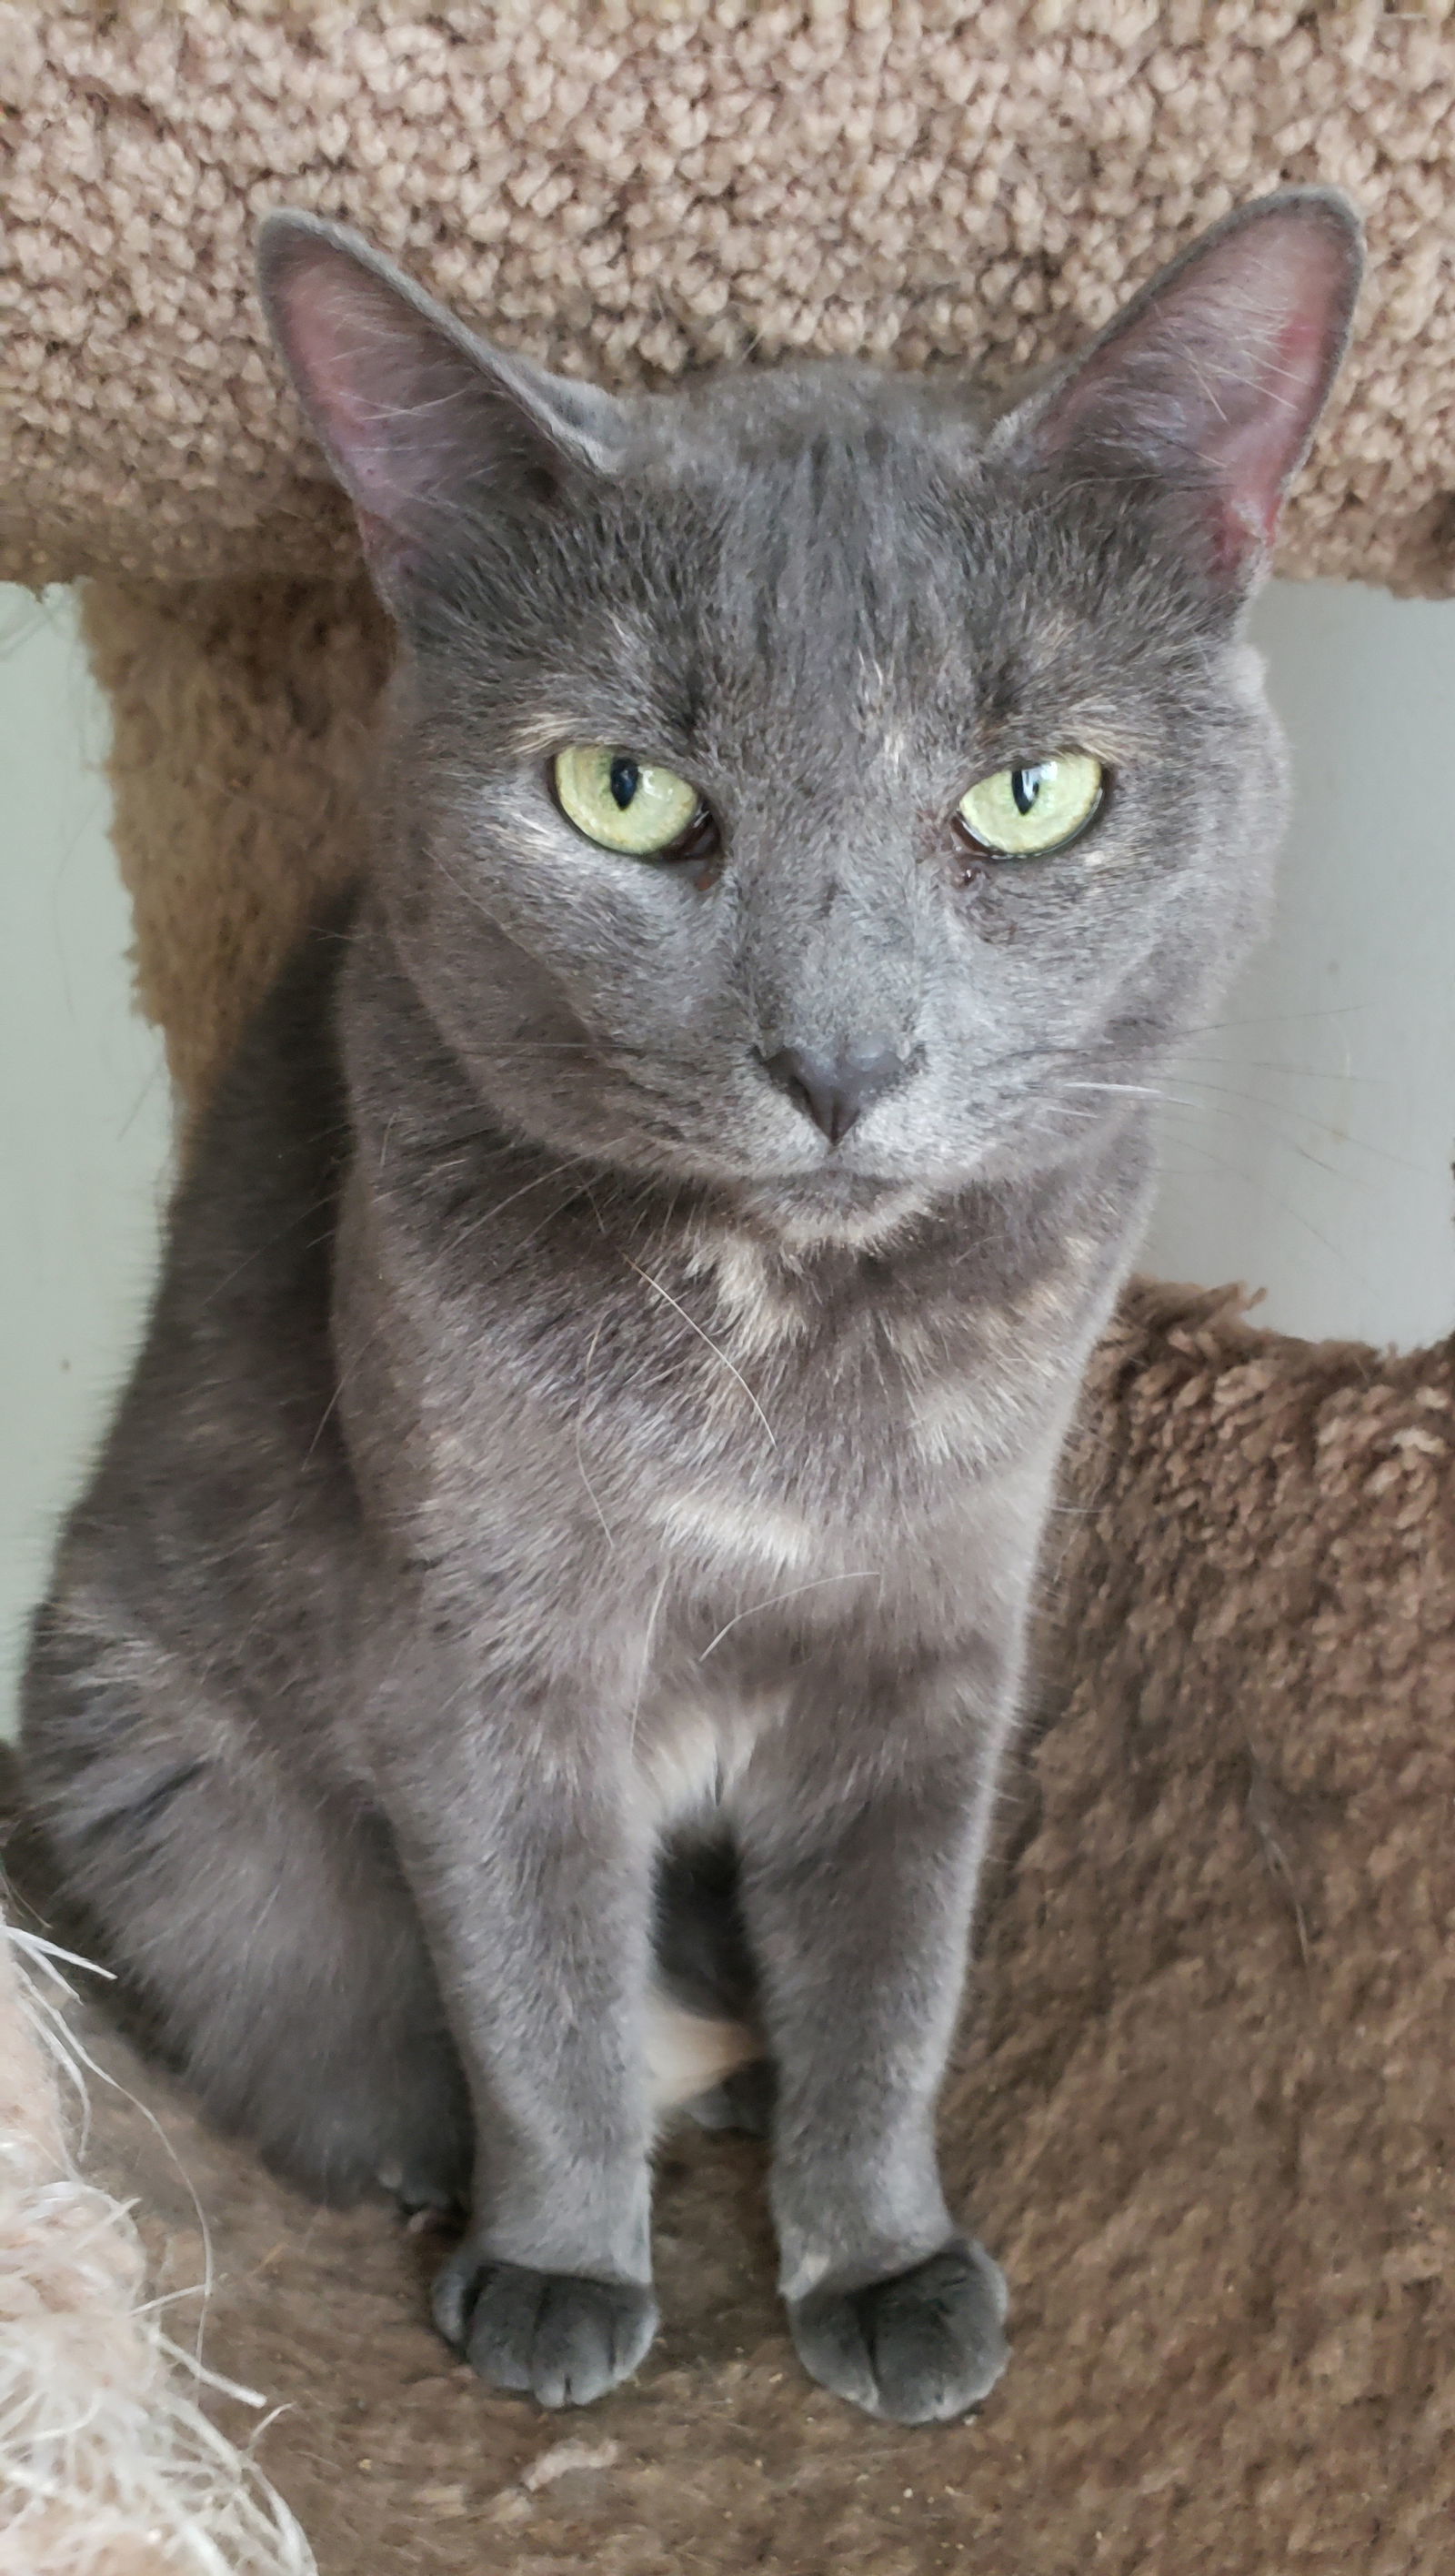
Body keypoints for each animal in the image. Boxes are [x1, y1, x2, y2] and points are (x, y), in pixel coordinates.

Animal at [19, 190, 1360, 2421]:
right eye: (619, 790)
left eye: (1032, 795)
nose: (840, 1058)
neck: (781, 1350)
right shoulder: (486, 1658)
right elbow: (537, 1992)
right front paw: (562, 2268)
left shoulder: (933, 1650)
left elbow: (892, 1979)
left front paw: (883, 2262)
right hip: (165, 1776)